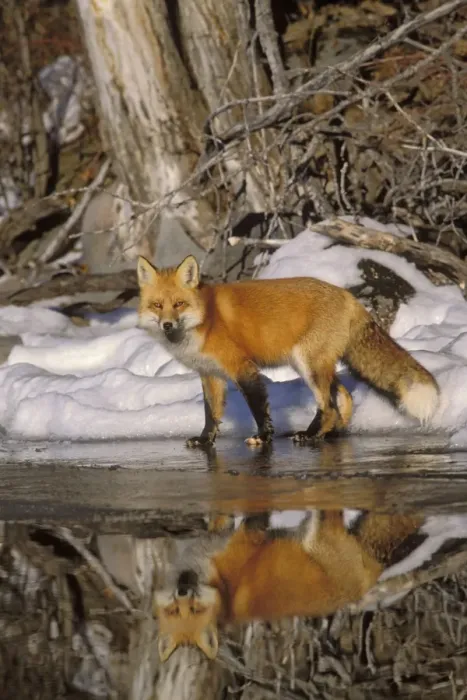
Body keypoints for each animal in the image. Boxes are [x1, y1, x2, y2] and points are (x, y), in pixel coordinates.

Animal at [137, 255, 440, 446]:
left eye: (178, 304)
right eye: (157, 305)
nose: (166, 324)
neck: (206, 320)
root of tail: (347, 294)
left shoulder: (242, 367)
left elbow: (258, 408)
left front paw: (263, 437)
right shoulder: (210, 374)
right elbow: (211, 414)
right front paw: (204, 440)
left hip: (307, 365)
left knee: (328, 406)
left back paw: (310, 435)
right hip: (317, 366)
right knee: (344, 397)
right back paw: (332, 433)